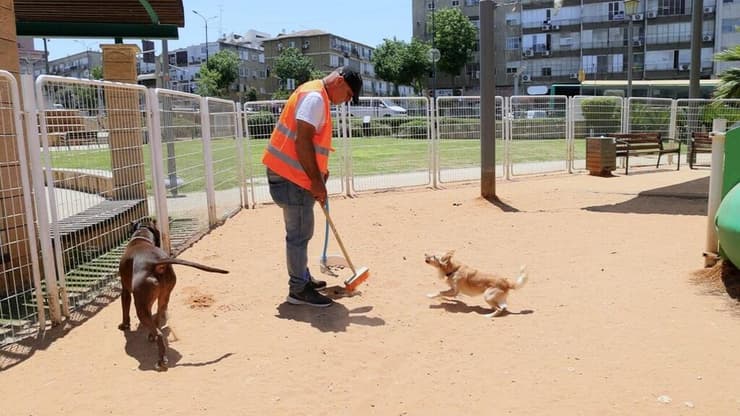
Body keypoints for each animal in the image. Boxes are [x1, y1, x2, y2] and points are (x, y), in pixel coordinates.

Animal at [118, 221, 228, 370]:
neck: (141, 237)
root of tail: (156, 263)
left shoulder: (125, 291)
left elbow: (125, 310)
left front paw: (124, 325)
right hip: (163, 298)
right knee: (157, 319)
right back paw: (152, 336)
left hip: (140, 306)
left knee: (159, 333)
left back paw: (161, 360)